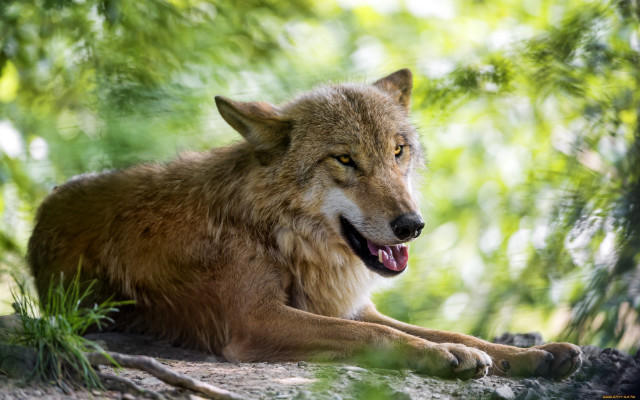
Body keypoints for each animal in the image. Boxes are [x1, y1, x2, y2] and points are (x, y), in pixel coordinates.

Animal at [28, 69, 581, 380]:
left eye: (397, 151)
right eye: (345, 159)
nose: (412, 225)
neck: (277, 233)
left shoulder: (354, 307)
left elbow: (446, 329)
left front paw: (532, 354)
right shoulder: (256, 320)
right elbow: (383, 338)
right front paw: (445, 356)